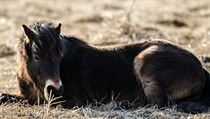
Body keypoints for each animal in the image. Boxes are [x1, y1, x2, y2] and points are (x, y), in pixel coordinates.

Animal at [0, 21, 210, 113]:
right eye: (36, 55)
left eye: (60, 56)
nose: (56, 89)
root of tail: (201, 68)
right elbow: (5, 97)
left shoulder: (68, 101)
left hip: (145, 60)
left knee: (157, 104)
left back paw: (119, 104)